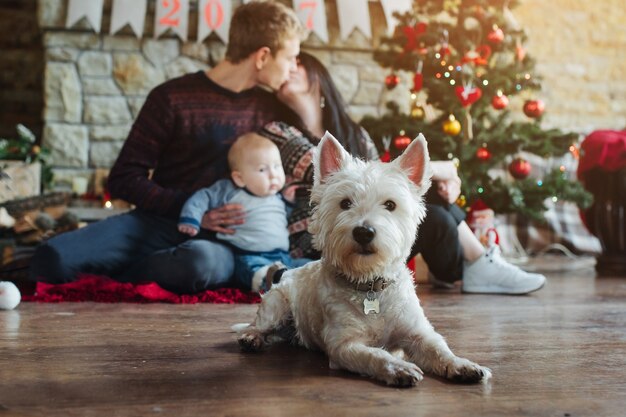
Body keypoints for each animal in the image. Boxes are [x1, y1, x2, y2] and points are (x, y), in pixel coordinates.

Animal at [233, 133, 488, 386]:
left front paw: (463, 365)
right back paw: (252, 337)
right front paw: (399, 368)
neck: (370, 284)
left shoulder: (417, 332)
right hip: (277, 302)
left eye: (390, 205)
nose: (364, 232)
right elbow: (375, 355)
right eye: (345, 203)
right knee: (260, 323)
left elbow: (439, 349)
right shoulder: (344, 344)